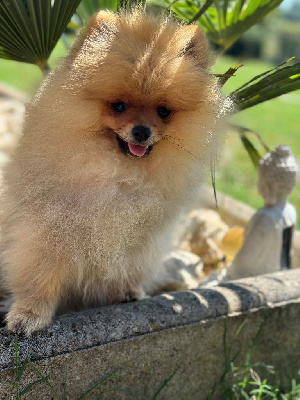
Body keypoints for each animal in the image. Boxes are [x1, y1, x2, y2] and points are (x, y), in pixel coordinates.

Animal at [1, 9, 226, 334]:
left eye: (163, 111)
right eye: (118, 106)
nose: (142, 131)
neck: (120, 174)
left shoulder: (137, 240)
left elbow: (123, 267)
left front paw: (125, 292)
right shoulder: (48, 230)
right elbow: (40, 275)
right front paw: (30, 315)